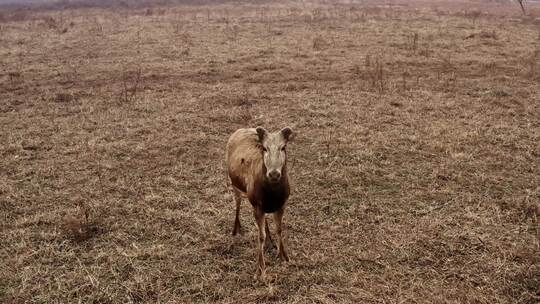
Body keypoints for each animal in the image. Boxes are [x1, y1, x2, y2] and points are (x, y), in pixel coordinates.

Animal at [225, 126, 296, 280]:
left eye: (283, 147)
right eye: (264, 148)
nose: (274, 174)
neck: (272, 195)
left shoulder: (281, 204)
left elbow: (279, 229)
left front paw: (283, 255)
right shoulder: (256, 206)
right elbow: (260, 236)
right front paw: (260, 269)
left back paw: (270, 240)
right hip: (234, 183)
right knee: (238, 203)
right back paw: (236, 229)